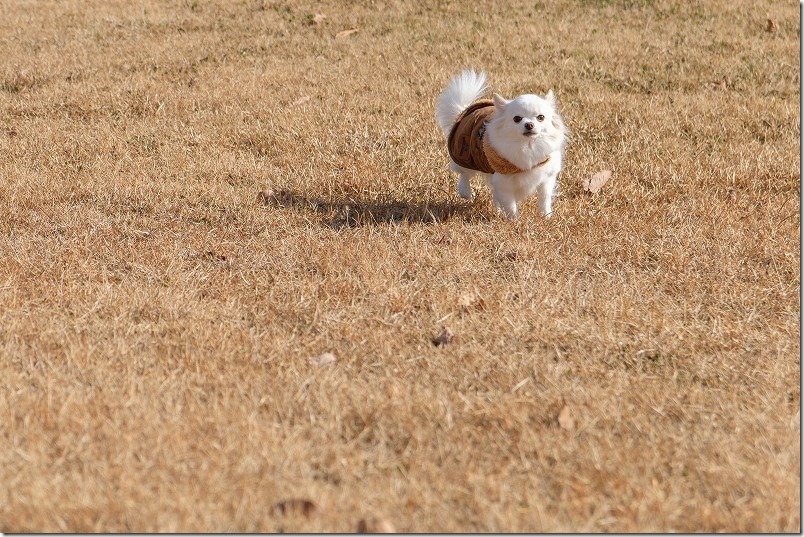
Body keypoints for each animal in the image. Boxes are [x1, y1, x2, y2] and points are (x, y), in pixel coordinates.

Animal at [436, 70, 568, 219]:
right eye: (517, 119)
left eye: (541, 117)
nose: (529, 124)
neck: (528, 146)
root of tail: (465, 111)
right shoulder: (504, 182)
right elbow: (510, 204)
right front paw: (514, 220)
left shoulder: (547, 177)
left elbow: (544, 198)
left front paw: (546, 216)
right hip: (465, 154)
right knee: (464, 173)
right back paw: (466, 192)